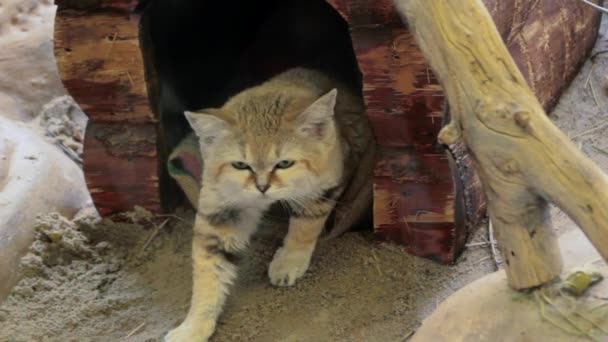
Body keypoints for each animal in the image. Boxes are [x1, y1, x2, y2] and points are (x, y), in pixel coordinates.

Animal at [166, 68, 376, 340]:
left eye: (284, 163)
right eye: (240, 165)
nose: (262, 187)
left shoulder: (322, 186)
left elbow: (304, 227)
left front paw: (289, 261)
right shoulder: (219, 209)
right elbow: (207, 271)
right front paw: (194, 326)